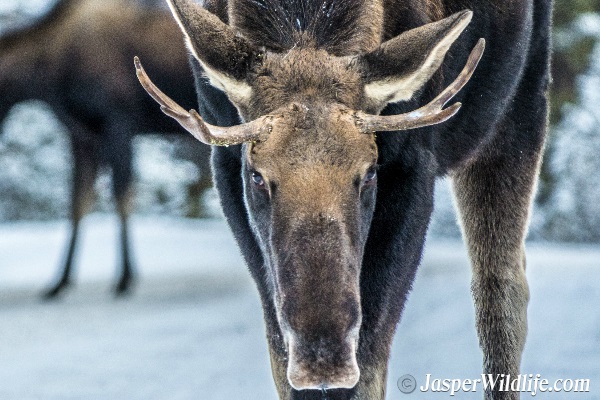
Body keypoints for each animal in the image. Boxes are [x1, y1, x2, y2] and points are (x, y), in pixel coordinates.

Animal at [0, 0, 209, 296]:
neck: (42, 81)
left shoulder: (117, 123)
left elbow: (122, 196)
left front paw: (125, 278)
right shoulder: (82, 134)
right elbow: (78, 203)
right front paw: (60, 282)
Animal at [137, 0, 552, 396]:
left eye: (369, 173)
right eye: (256, 176)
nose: (323, 358)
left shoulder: (412, 164)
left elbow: (369, 358)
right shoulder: (224, 163)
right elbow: (279, 350)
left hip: (520, 106)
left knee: (502, 291)